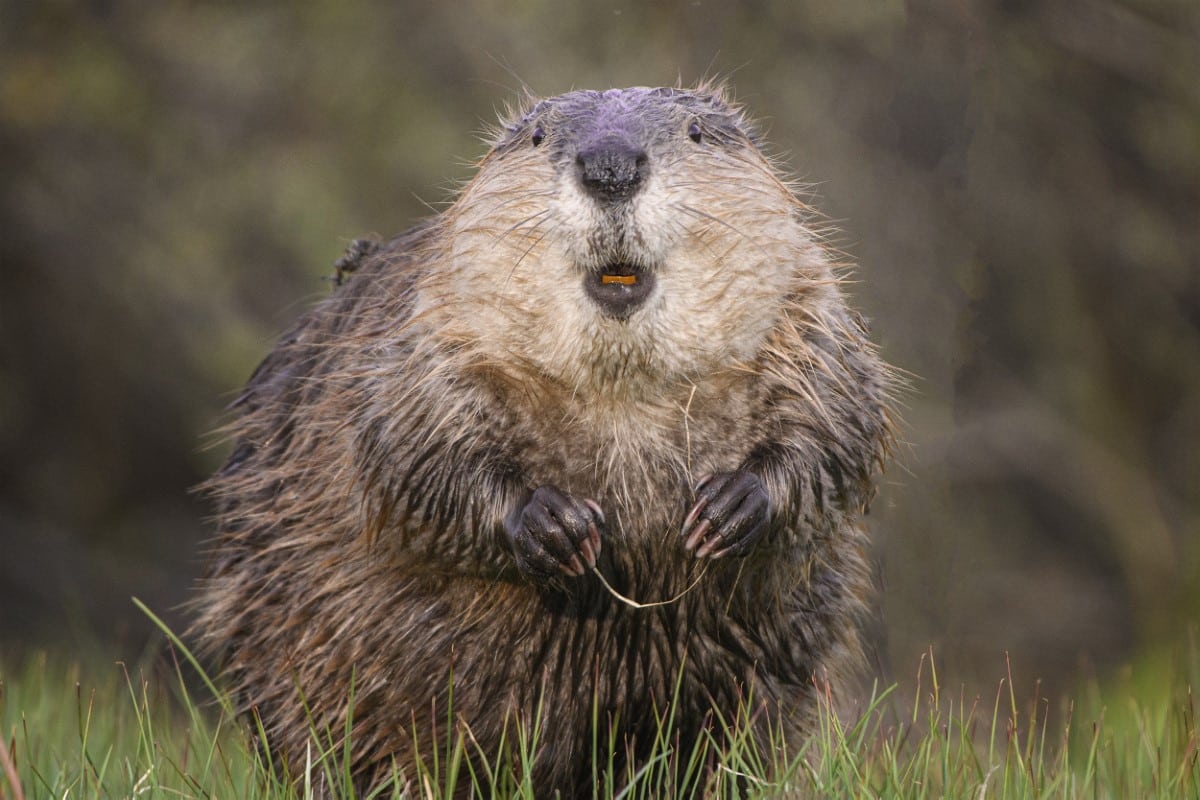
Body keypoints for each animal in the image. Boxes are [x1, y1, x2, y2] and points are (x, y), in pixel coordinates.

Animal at [194, 84, 892, 796]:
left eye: (696, 132)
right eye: (537, 138)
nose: (610, 166)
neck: (624, 393)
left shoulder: (808, 311)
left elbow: (842, 420)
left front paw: (725, 511)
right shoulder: (427, 330)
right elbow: (408, 449)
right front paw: (559, 528)